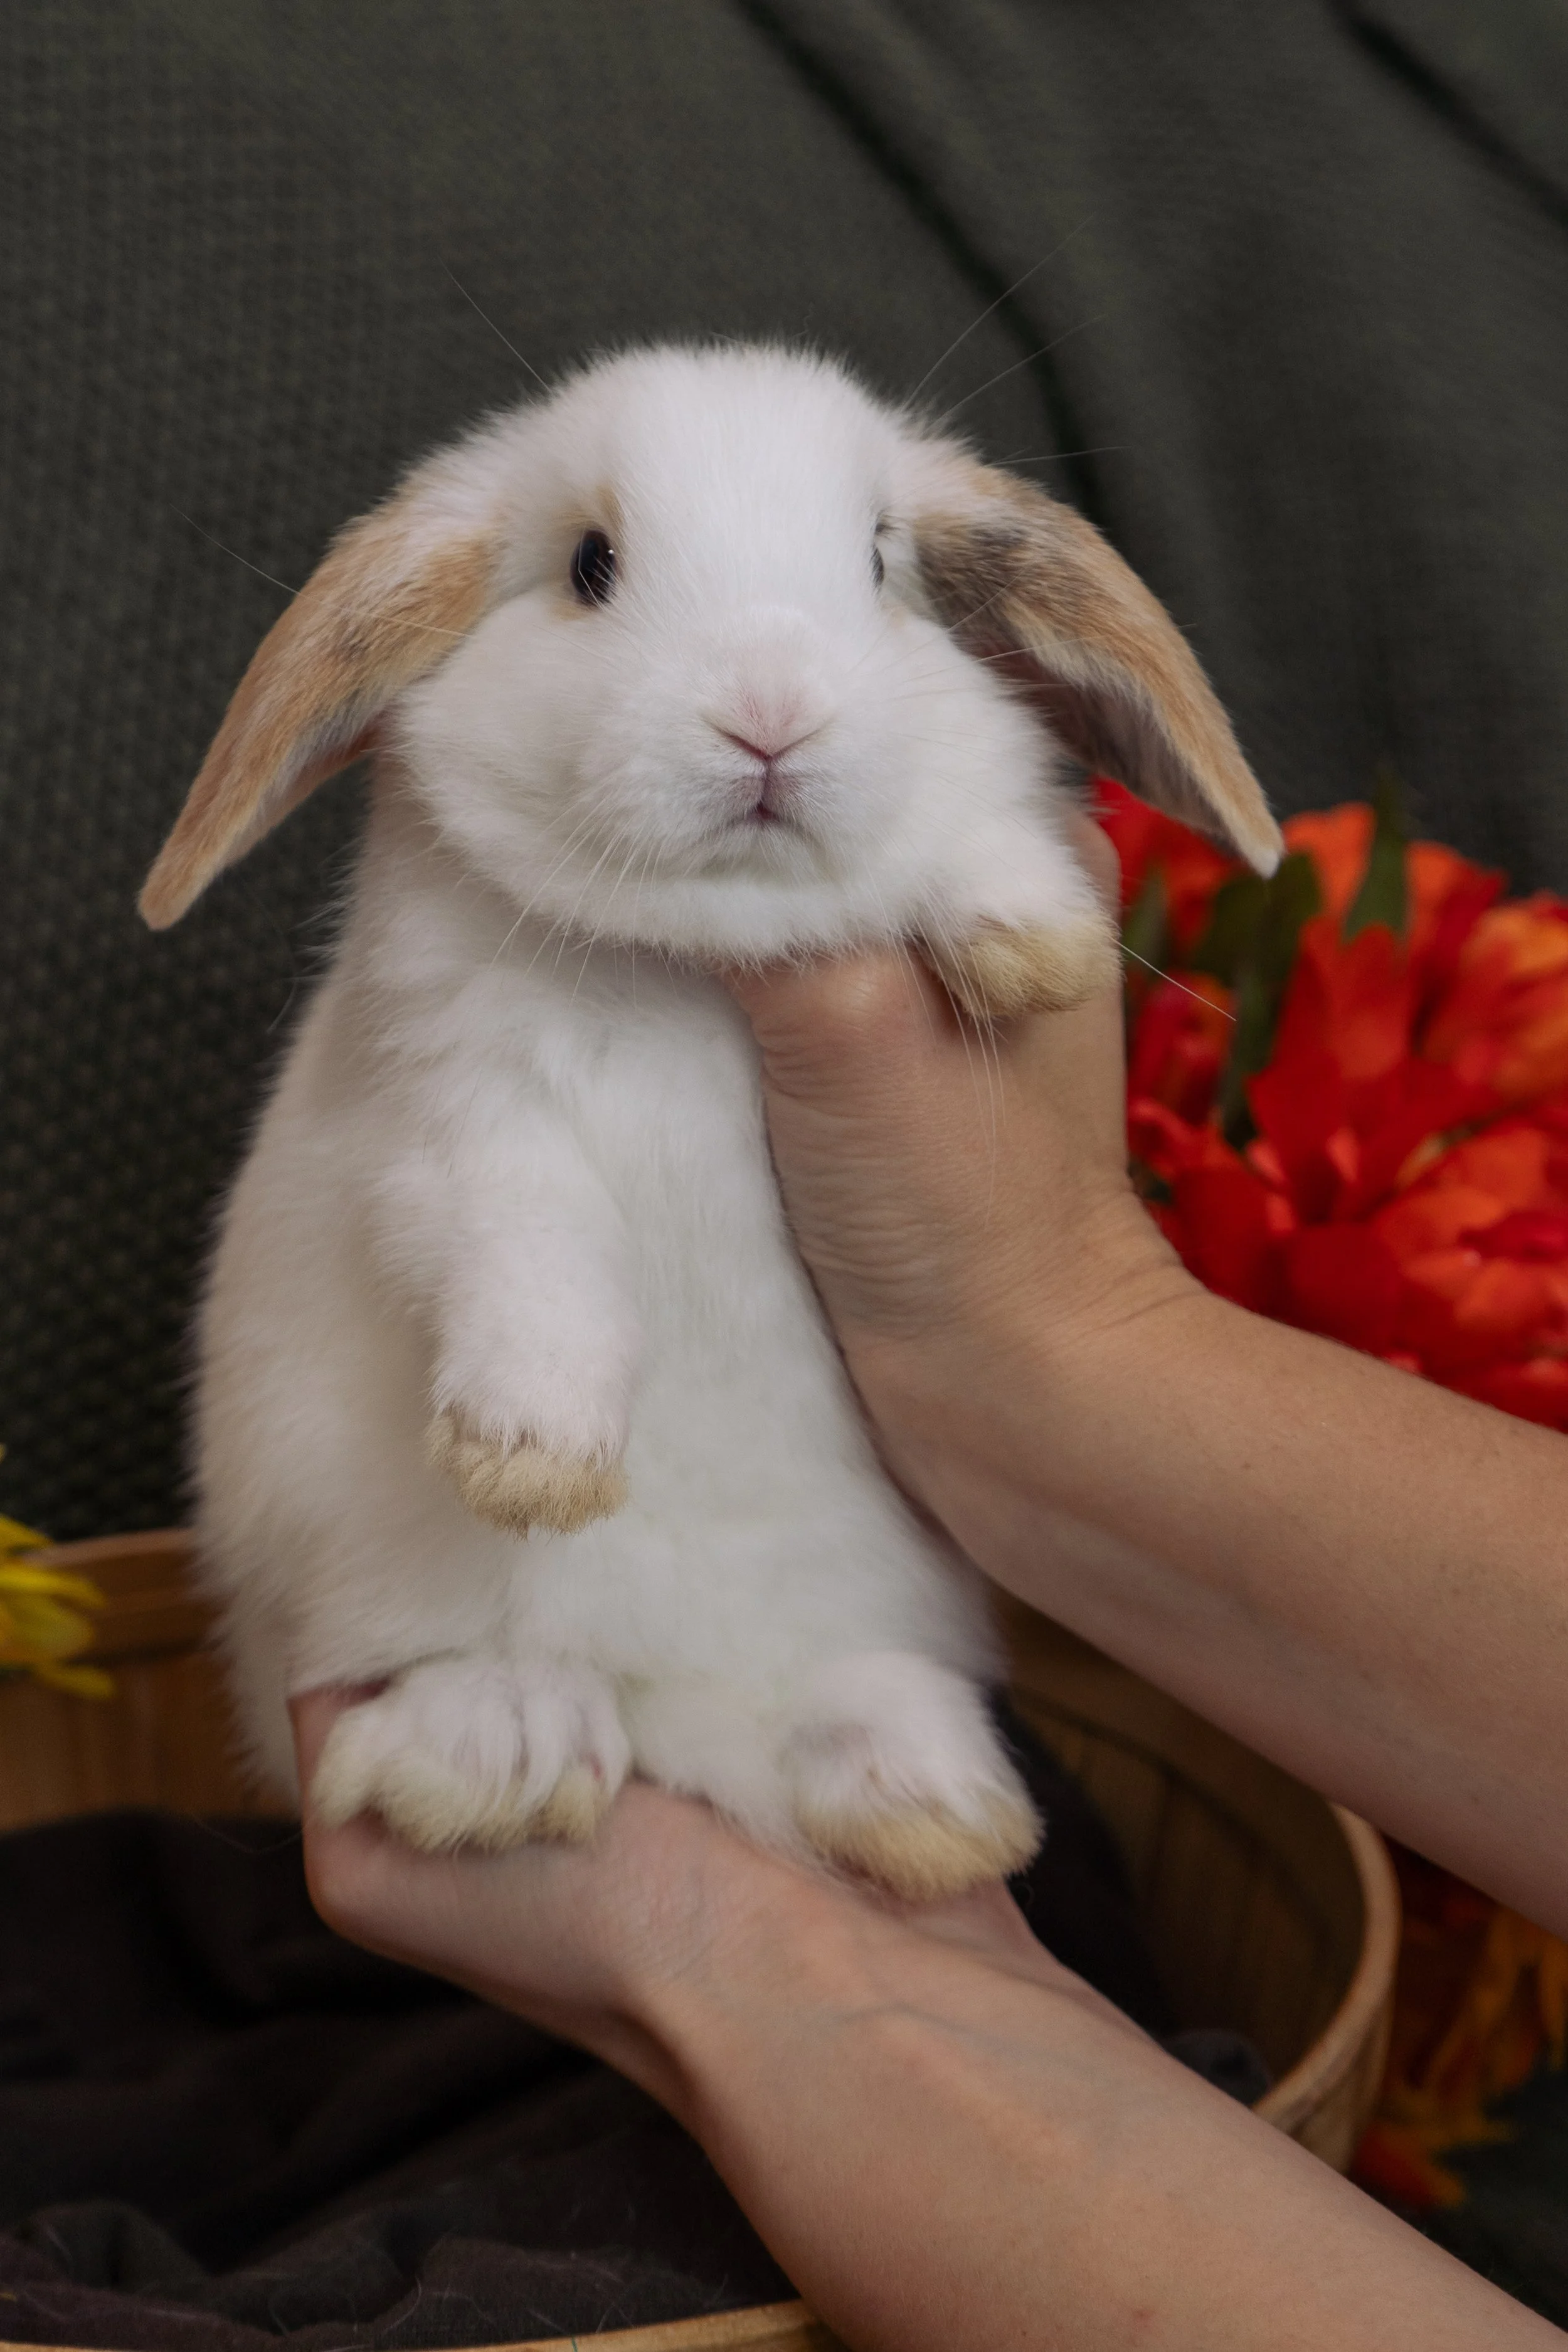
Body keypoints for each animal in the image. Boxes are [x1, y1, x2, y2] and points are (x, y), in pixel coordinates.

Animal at [140, 343, 1282, 1901]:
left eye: (878, 561)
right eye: (589, 563)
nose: (769, 715)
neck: (704, 955)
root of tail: (673, 1702)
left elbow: (962, 815)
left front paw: (1025, 935)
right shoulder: (447, 1117)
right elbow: (528, 1254)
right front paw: (534, 1461)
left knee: (841, 1692)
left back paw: (920, 1796)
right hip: (361, 1594)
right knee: (475, 1674)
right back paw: (498, 1756)